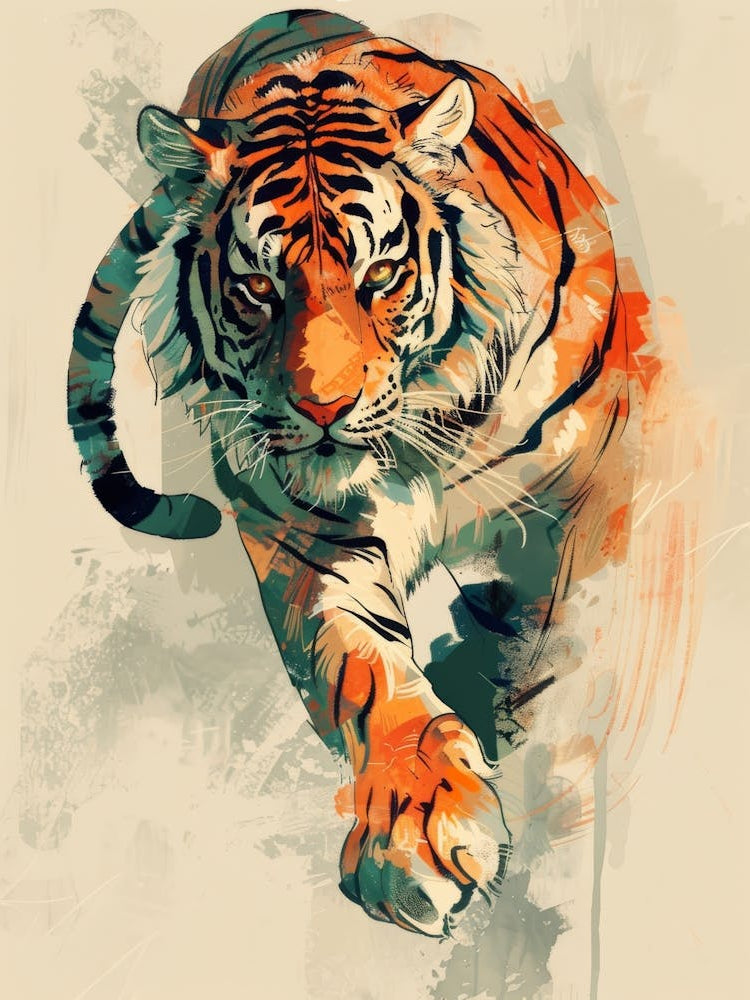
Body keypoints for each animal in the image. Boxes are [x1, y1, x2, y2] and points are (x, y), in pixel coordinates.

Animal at [67, 9, 644, 936]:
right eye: (258, 287)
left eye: (380, 274)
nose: (322, 408)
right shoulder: (308, 535)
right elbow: (367, 669)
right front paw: (420, 824)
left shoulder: (584, 498)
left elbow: (559, 638)